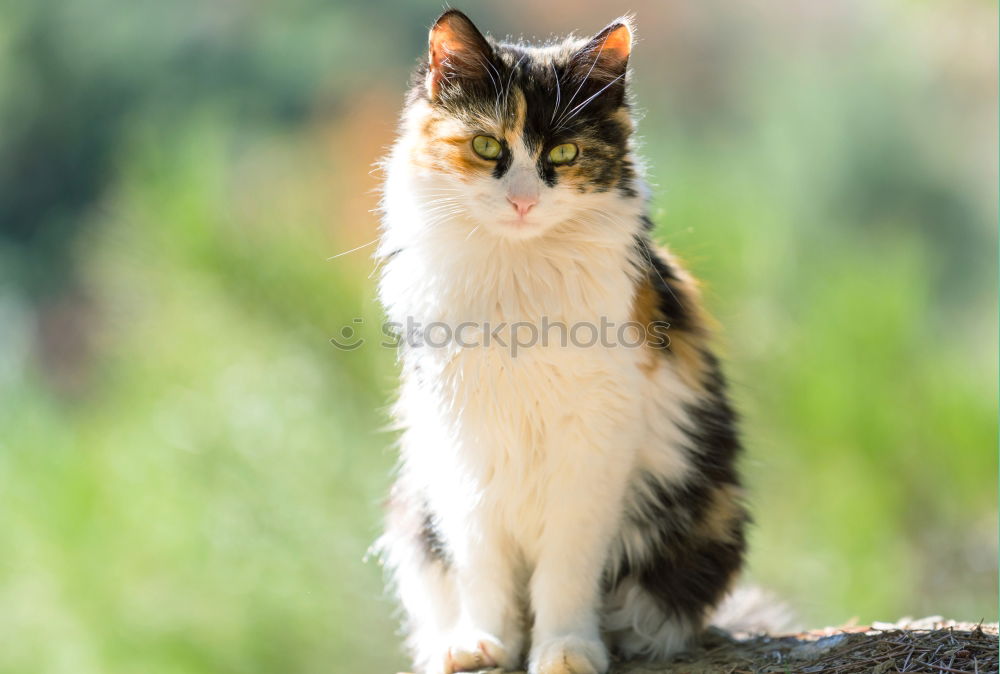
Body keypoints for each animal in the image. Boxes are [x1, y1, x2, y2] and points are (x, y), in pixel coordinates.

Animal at [376, 10, 752, 672]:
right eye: (487, 146)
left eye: (565, 153)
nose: (523, 201)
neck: (516, 281)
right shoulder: (461, 445)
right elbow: (483, 565)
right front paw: (485, 643)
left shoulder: (595, 442)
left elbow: (566, 570)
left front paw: (566, 649)